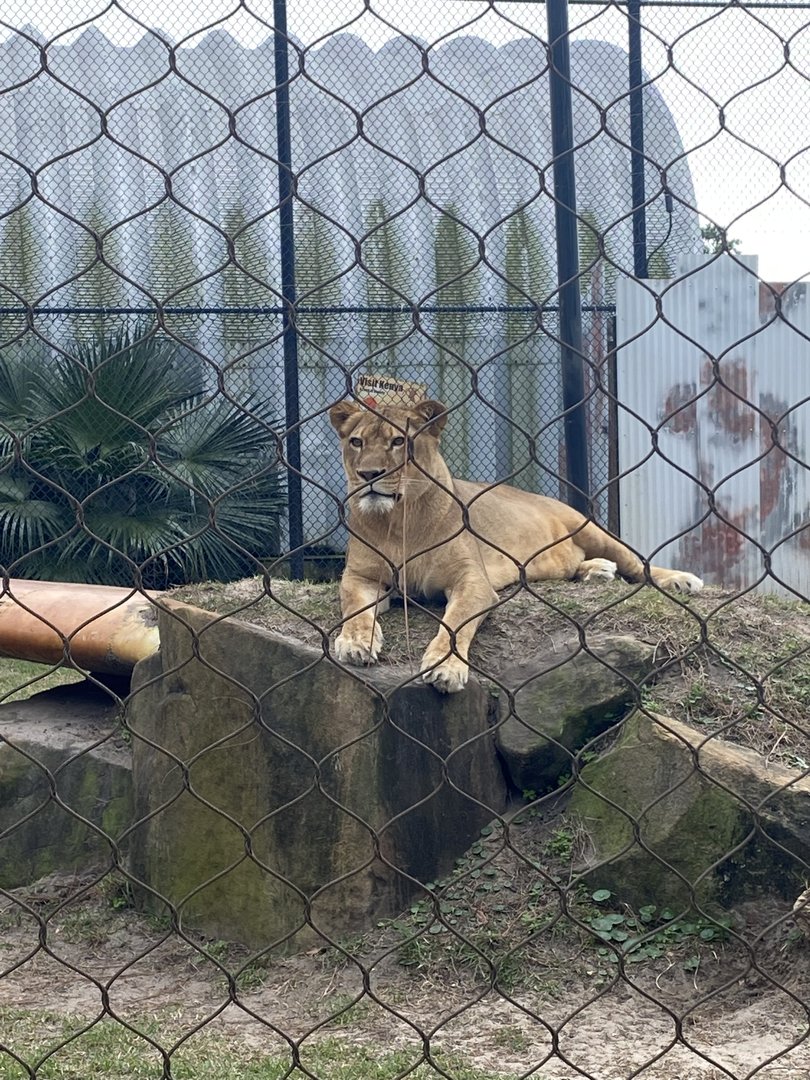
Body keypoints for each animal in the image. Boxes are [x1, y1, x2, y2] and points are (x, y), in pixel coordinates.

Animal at [329, 398, 703, 694]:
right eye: (357, 441)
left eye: (398, 441)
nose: (368, 474)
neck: (398, 521)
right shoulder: (361, 576)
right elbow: (354, 605)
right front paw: (355, 642)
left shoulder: (473, 581)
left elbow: (456, 622)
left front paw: (445, 668)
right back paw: (596, 570)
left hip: (591, 529)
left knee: (638, 564)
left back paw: (680, 579)